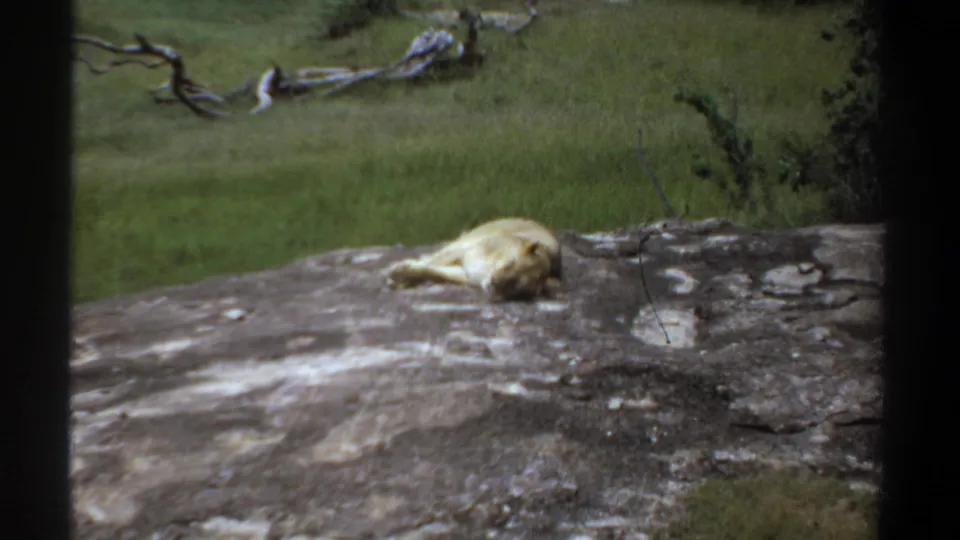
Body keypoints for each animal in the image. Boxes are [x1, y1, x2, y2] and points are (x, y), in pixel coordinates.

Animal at [383, 217, 563, 301]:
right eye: (510, 264)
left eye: (518, 289)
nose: (494, 283)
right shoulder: (463, 250)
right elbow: (433, 262)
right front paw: (399, 274)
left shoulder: (465, 273)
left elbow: (435, 271)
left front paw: (401, 277)